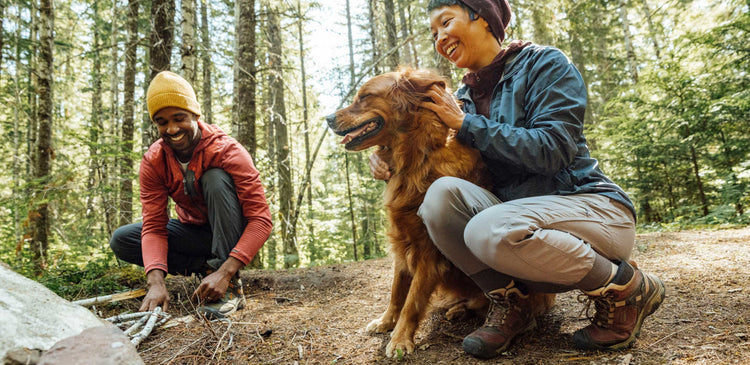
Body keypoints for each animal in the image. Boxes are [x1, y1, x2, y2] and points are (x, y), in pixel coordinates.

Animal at [326, 67, 556, 356]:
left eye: (365, 96)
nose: (327, 118)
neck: (417, 157)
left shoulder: (427, 249)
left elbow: (412, 299)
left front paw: (400, 339)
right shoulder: (402, 241)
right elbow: (397, 290)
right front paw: (386, 321)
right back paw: (457, 309)